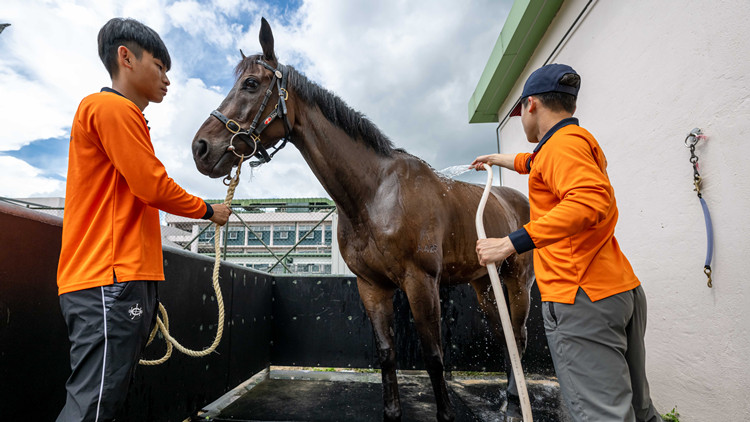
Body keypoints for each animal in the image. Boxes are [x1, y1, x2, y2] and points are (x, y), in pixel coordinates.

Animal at [191, 17, 536, 422]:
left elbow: (434, 357)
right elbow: (386, 355)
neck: (376, 194)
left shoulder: (421, 282)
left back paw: (515, 399)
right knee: (505, 337)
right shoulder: (372, 287)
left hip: (517, 281)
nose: (200, 148)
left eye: (250, 83)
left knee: (519, 335)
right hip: (485, 284)